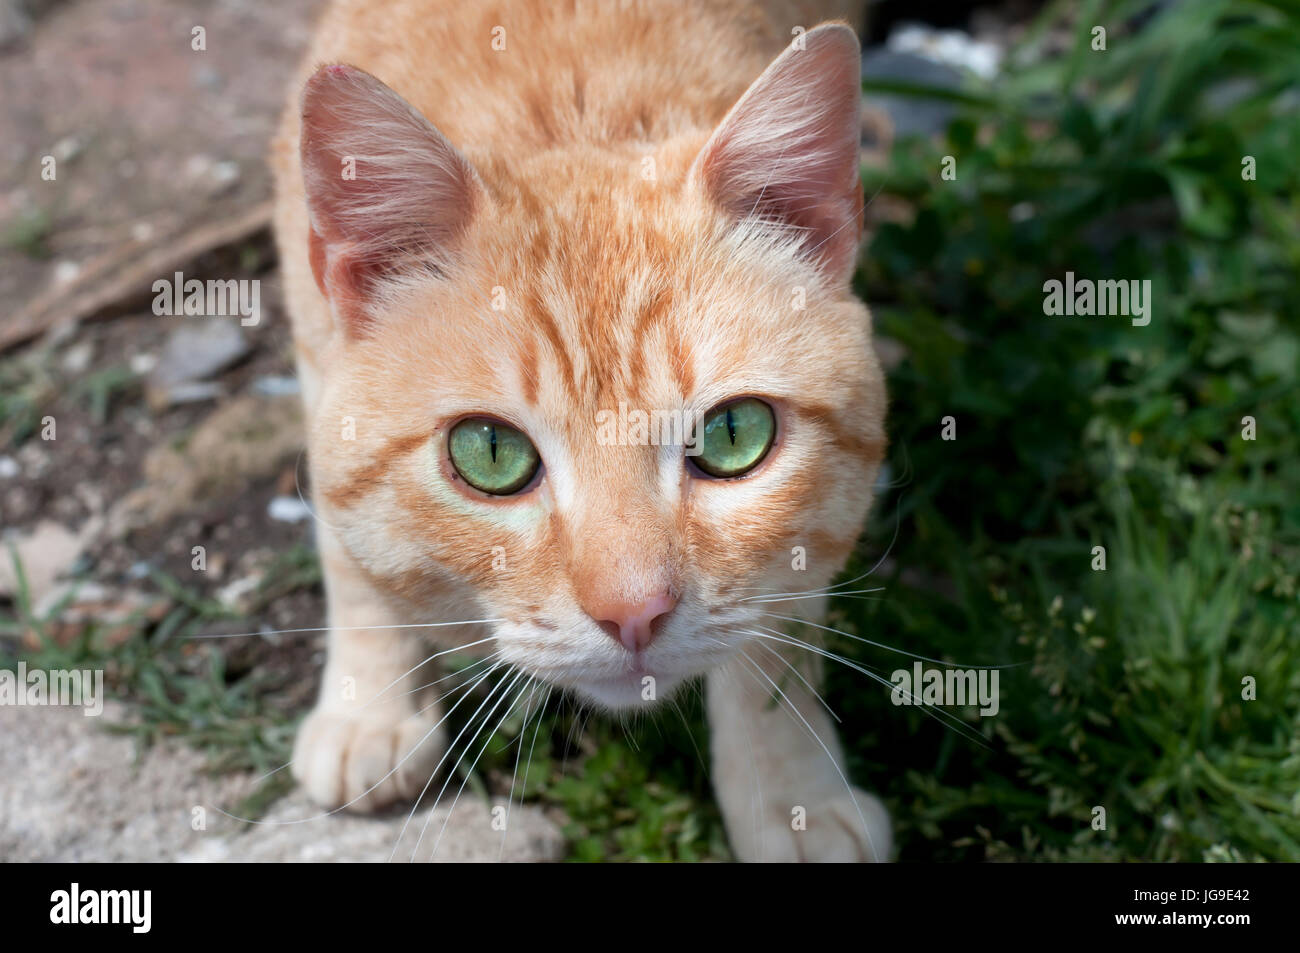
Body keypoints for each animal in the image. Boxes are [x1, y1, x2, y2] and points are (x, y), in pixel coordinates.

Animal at [269, 0, 889, 863]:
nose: (634, 613)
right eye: (491, 452)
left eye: (734, 434)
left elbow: (773, 647)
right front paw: (370, 705)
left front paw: (792, 796)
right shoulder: (314, 352)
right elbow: (347, 551)